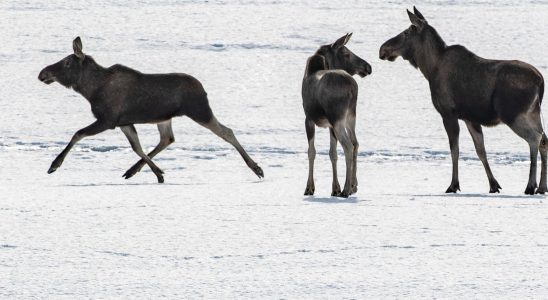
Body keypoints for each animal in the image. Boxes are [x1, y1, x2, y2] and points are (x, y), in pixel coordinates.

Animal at [37, 37, 264, 183]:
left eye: (67, 62)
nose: (42, 73)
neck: (90, 90)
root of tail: (203, 89)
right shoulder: (124, 122)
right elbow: (137, 147)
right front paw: (158, 173)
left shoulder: (108, 120)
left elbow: (77, 134)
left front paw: (54, 164)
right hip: (165, 118)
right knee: (167, 139)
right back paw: (133, 170)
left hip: (200, 111)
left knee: (227, 132)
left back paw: (257, 168)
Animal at [302, 33, 374, 197]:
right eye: (346, 53)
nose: (368, 67)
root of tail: (352, 88)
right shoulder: (329, 125)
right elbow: (332, 153)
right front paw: (335, 188)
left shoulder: (308, 119)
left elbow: (311, 152)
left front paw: (309, 188)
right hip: (350, 116)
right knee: (355, 143)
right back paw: (353, 186)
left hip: (338, 119)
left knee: (348, 146)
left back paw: (346, 189)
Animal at [378, 7, 544, 195]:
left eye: (406, 32)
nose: (382, 49)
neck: (429, 68)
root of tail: (540, 80)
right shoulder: (469, 118)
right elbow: (480, 150)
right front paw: (493, 185)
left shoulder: (448, 113)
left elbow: (454, 150)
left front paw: (453, 185)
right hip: (533, 113)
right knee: (544, 140)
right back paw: (542, 187)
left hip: (514, 114)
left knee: (535, 138)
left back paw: (531, 185)